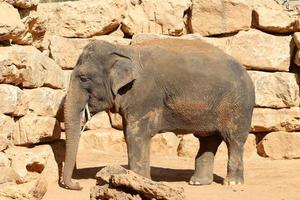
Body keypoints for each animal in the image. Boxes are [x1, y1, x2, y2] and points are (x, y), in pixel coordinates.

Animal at [62, 38, 254, 190]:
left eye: (84, 78)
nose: (78, 185)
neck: (124, 50)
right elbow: (129, 133)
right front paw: (137, 180)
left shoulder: (144, 94)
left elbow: (136, 134)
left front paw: (136, 181)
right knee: (208, 140)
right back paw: (198, 183)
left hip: (238, 105)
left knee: (234, 139)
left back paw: (232, 183)